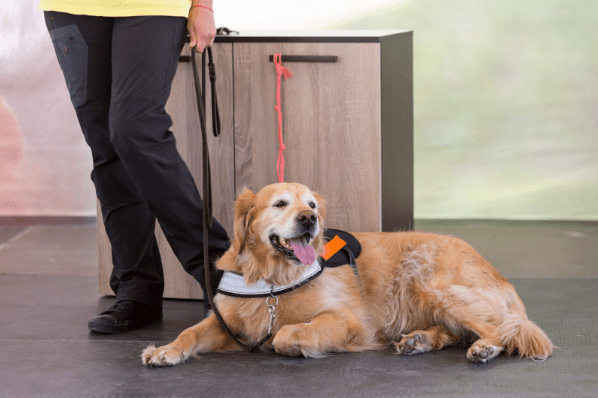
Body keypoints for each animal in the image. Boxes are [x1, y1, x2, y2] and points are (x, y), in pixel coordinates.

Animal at [143, 182, 556, 366]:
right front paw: (165, 349)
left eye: (311, 205)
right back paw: (418, 340)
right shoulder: (226, 321)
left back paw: (484, 347)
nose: (308, 219)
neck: (274, 278)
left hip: (431, 282)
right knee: (458, 331)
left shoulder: (350, 320)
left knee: (505, 329)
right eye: (280, 203)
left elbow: (288, 332)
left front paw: (293, 343)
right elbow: (190, 332)